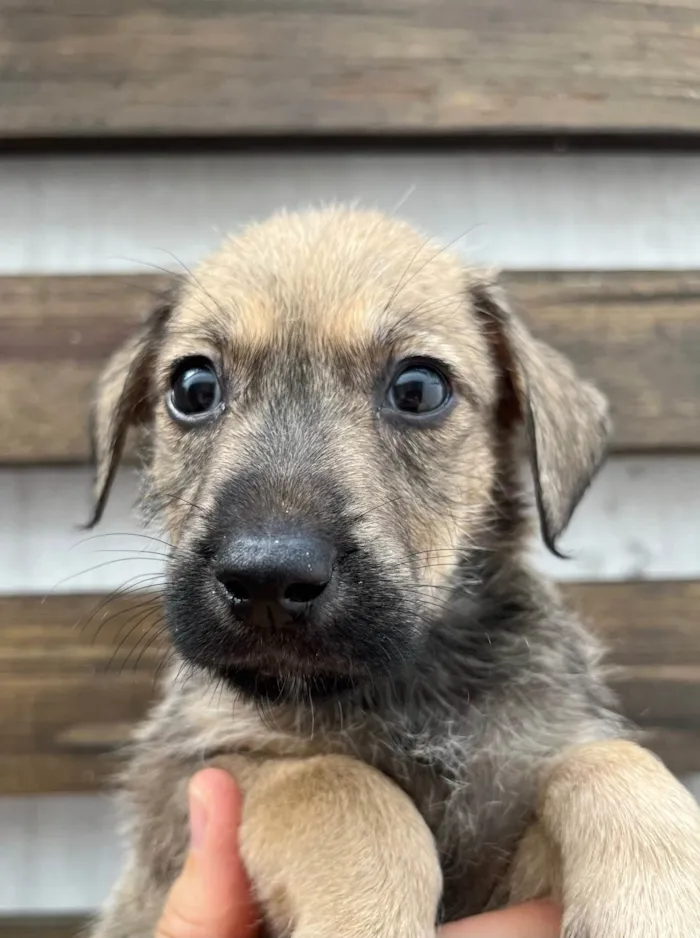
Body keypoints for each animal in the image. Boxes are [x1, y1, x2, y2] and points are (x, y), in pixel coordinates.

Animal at [86, 208, 700, 932]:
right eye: (193, 388)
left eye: (419, 388)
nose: (267, 580)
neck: (403, 687)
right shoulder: (190, 779)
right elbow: (337, 785)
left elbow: (609, 761)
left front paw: (659, 905)